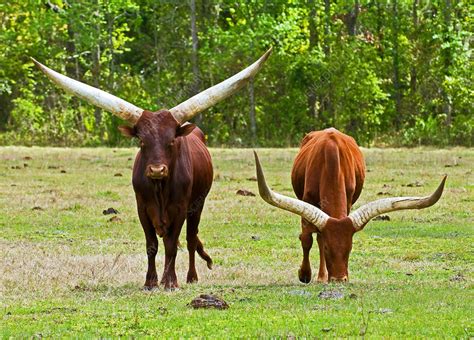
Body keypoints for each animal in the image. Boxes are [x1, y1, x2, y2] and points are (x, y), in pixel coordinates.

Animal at [32, 47, 270, 290]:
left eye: (171, 141)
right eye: (141, 141)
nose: (157, 170)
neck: (159, 187)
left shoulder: (180, 208)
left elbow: (172, 245)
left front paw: (171, 282)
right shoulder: (143, 208)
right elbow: (152, 245)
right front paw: (151, 281)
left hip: (198, 204)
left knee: (190, 239)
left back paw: (191, 276)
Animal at [254, 127, 446, 282]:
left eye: (350, 247)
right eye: (328, 248)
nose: (339, 279)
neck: (330, 162)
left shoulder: (348, 201)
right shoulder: (306, 200)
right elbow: (307, 239)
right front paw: (305, 275)